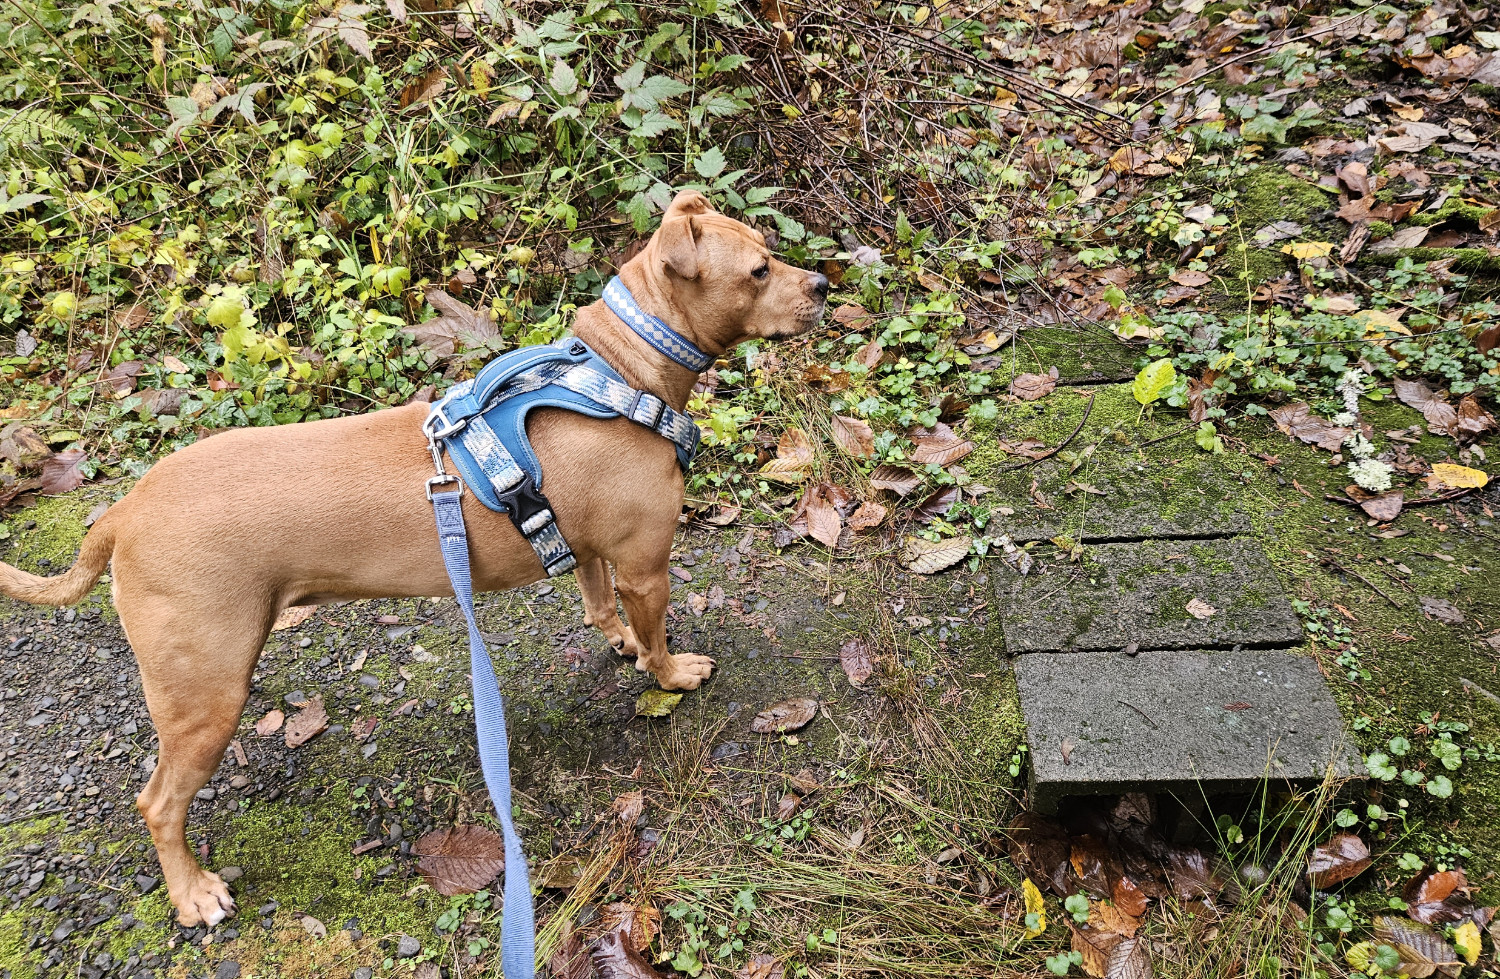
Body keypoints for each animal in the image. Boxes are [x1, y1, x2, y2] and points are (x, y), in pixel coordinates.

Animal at [0, 188, 834, 923]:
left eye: (770, 253)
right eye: (758, 271)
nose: (826, 285)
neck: (618, 370)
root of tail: (123, 514)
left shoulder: (595, 552)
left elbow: (601, 607)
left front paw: (621, 641)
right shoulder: (644, 566)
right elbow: (657, 639)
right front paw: (670, 670)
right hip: (204, 696)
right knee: (159, 803)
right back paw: (192, 891)